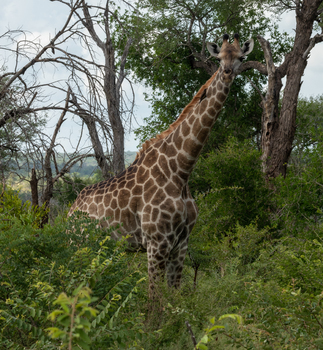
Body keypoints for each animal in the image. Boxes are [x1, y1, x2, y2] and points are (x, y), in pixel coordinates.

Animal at [69, 34, 254, 296]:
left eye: (241, 58)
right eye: (218, 59)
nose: (227, 72)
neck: (182, 171)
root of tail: (69, 212)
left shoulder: (181, 244)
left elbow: (173, 296)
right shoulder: (156, 242)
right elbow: (154, 298)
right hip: (79, 245)